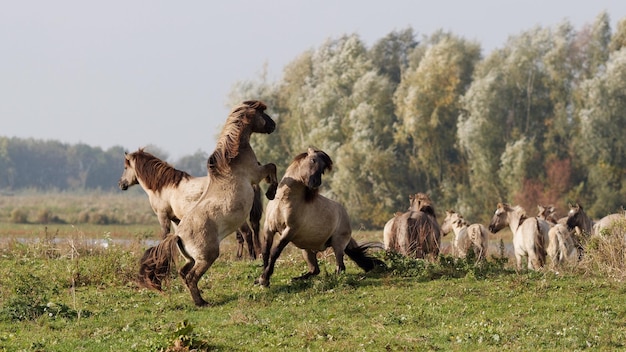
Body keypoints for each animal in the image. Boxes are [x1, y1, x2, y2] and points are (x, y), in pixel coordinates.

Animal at [118, 147, 262, 260]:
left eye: (125, 167)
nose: (121, 184)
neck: (163, 186)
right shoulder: (176, 219)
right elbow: (178, 238)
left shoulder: (163, 216)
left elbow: (165, 236)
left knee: (247, 233)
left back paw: (251, 258)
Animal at [140, 99, 280, 306]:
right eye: (263, 114)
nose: (273, 125)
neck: (231, 159)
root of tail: (178, 235)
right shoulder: (255, 174)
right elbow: (272, 166)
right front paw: (271, 192)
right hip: (207, 257)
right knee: (191, 277)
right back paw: (201, 302)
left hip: (191, 259)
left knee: (183, 273)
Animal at [252, 147, 380, 288]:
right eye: (313, 160)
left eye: (323, 168)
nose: (316, 183)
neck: (283, 201)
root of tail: (345, 214)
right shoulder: (268, 228)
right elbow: (265, 252)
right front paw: (261, 279)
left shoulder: (290, 230)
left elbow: (275, 252)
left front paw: (264, 279)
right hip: (306, 249)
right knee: (315, 270)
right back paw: (297, 279)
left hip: (337, 244)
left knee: (340, 267)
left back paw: (331, 279)